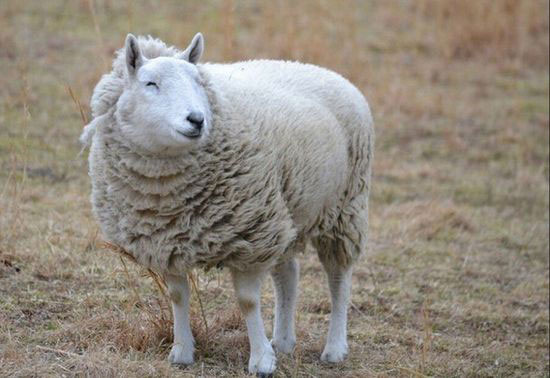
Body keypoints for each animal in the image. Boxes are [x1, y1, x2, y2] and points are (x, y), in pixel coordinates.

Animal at [81, 33, 376, 376]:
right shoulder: (167, 241)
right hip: (285, 209)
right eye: (150, 83)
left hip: (345, 205)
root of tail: (325, 71)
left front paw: (261, 360)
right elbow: (177, 296)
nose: (197, 119)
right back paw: (283, 341)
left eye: (198, 81)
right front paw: (182, 351)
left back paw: (335, 347)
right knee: (288, 274)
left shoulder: (250, 236)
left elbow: (248, 301)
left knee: (338, 277)